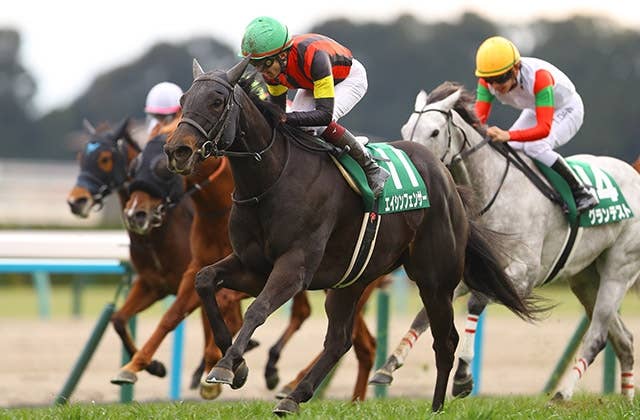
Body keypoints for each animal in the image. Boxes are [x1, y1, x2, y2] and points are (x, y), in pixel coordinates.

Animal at [163, 59, 537, 414]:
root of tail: (447, 179)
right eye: (183, 100)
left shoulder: (295, 267)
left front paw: (226, 366)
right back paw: (293, 397)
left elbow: (258, 309)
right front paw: (237, 367)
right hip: (351, 280)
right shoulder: (252, 266)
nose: (177, 151)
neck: (271, 179)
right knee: (339, 340)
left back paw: (435, 407)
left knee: (445, 341)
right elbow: (205, 281)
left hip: (434, 280)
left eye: (216, 101)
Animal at [373, 81, 640, 402]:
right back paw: (625, 401)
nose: (409, 162)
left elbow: (476, 304)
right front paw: (389, 365)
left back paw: (562, 395)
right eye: (406, 128)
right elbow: (425, 314)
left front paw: (463, 377)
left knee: (598, 335)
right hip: (586, 278)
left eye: (435, 132)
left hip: (618, 269)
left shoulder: (523, 273)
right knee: (623, 339)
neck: (491, 191)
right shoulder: (469, 270)